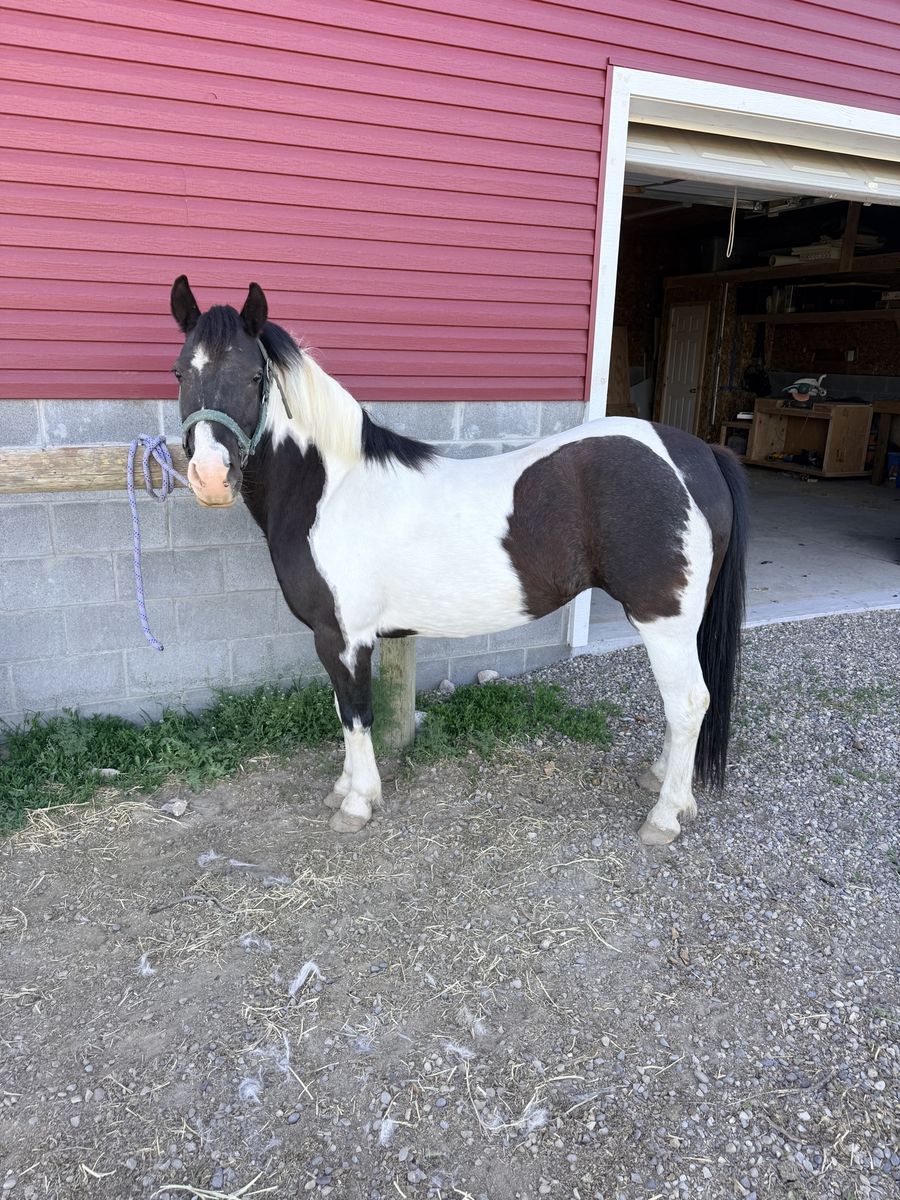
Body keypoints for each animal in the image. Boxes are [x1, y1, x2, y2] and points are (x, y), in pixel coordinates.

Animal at [169, 276, 748, 846]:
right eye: (179, 372)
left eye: (253, 376)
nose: (211, 477)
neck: (330, 490)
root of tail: (698, 455)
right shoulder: (337, 638)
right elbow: (342, 709)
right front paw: (342, 789)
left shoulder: (345, 637)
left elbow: (356, 714)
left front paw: (358, 803)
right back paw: (662, 779)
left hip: (663, 619)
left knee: (688, 701)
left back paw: (665, 815)